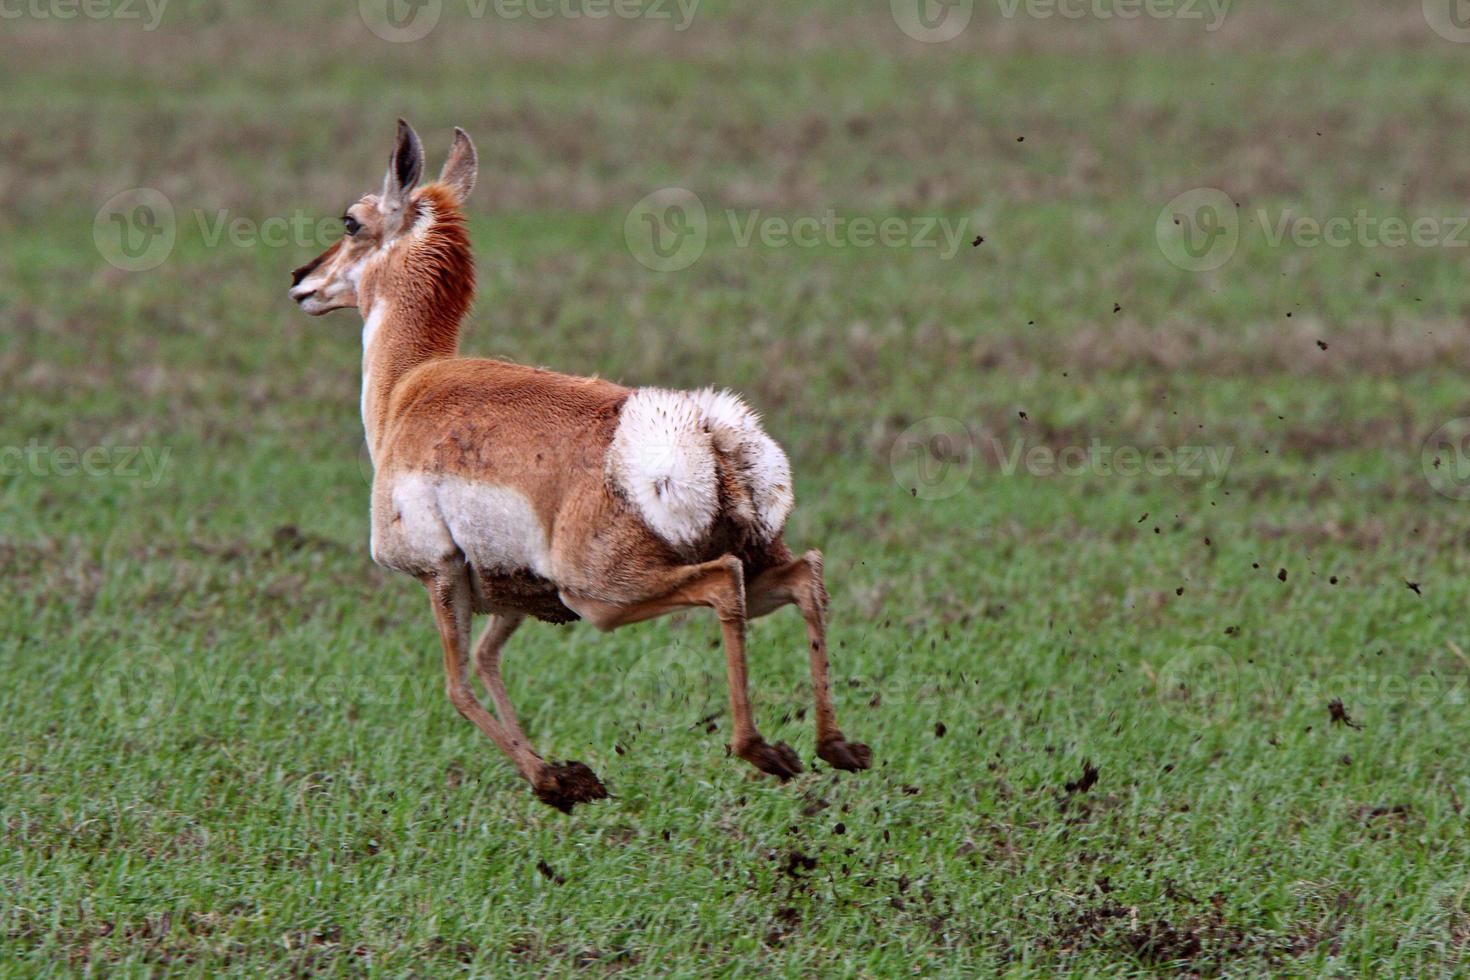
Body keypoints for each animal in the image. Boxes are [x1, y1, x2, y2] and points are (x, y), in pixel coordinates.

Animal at [289, 120, 870, 811]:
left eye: (351, 221)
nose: (299, 278)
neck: (411, 386)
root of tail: (705, 434)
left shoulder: (440, 574)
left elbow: (458, 686)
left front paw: (552, 782)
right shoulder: (510, 601)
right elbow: (486, 662)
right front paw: (567, 774)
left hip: (600, 596)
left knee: (721, 583)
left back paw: (760, 749)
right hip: (747, 570)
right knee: (806, 575)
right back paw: (835, 747)